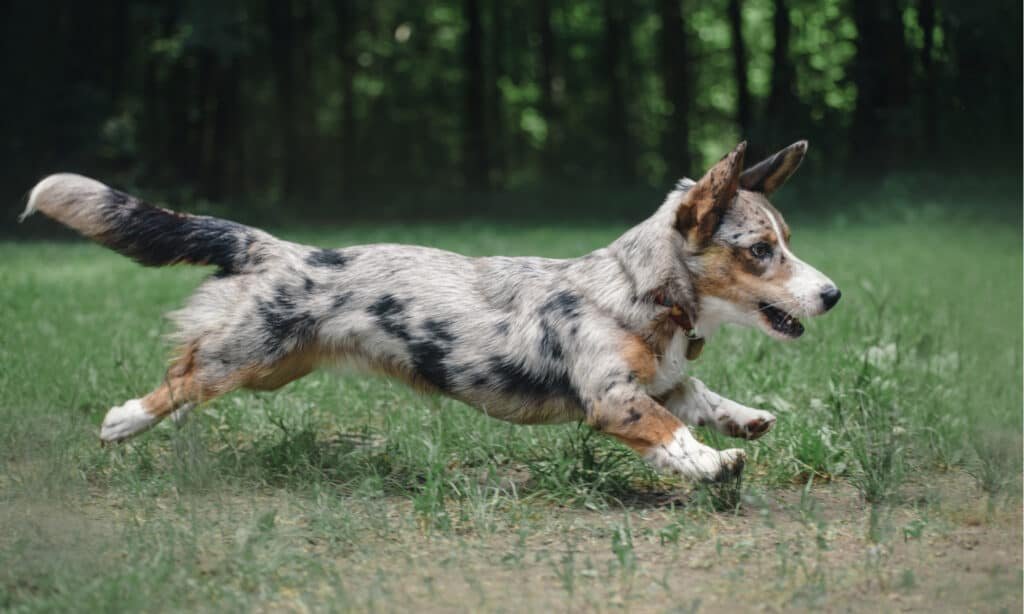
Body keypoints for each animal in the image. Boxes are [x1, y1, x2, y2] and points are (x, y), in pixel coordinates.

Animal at [22, 141, 839, 483]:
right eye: (761, 250)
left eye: (788, 241)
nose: (832, 294)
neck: (643, 292)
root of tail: (281, 248)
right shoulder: (615, 400)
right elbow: (671, 431)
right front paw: (713, 464)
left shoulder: (664, 378)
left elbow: (698, 398)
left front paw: (746, 419)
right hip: (249, 354)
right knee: (183, 372)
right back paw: (123, 420)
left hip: (275, 370)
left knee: (192, 375)